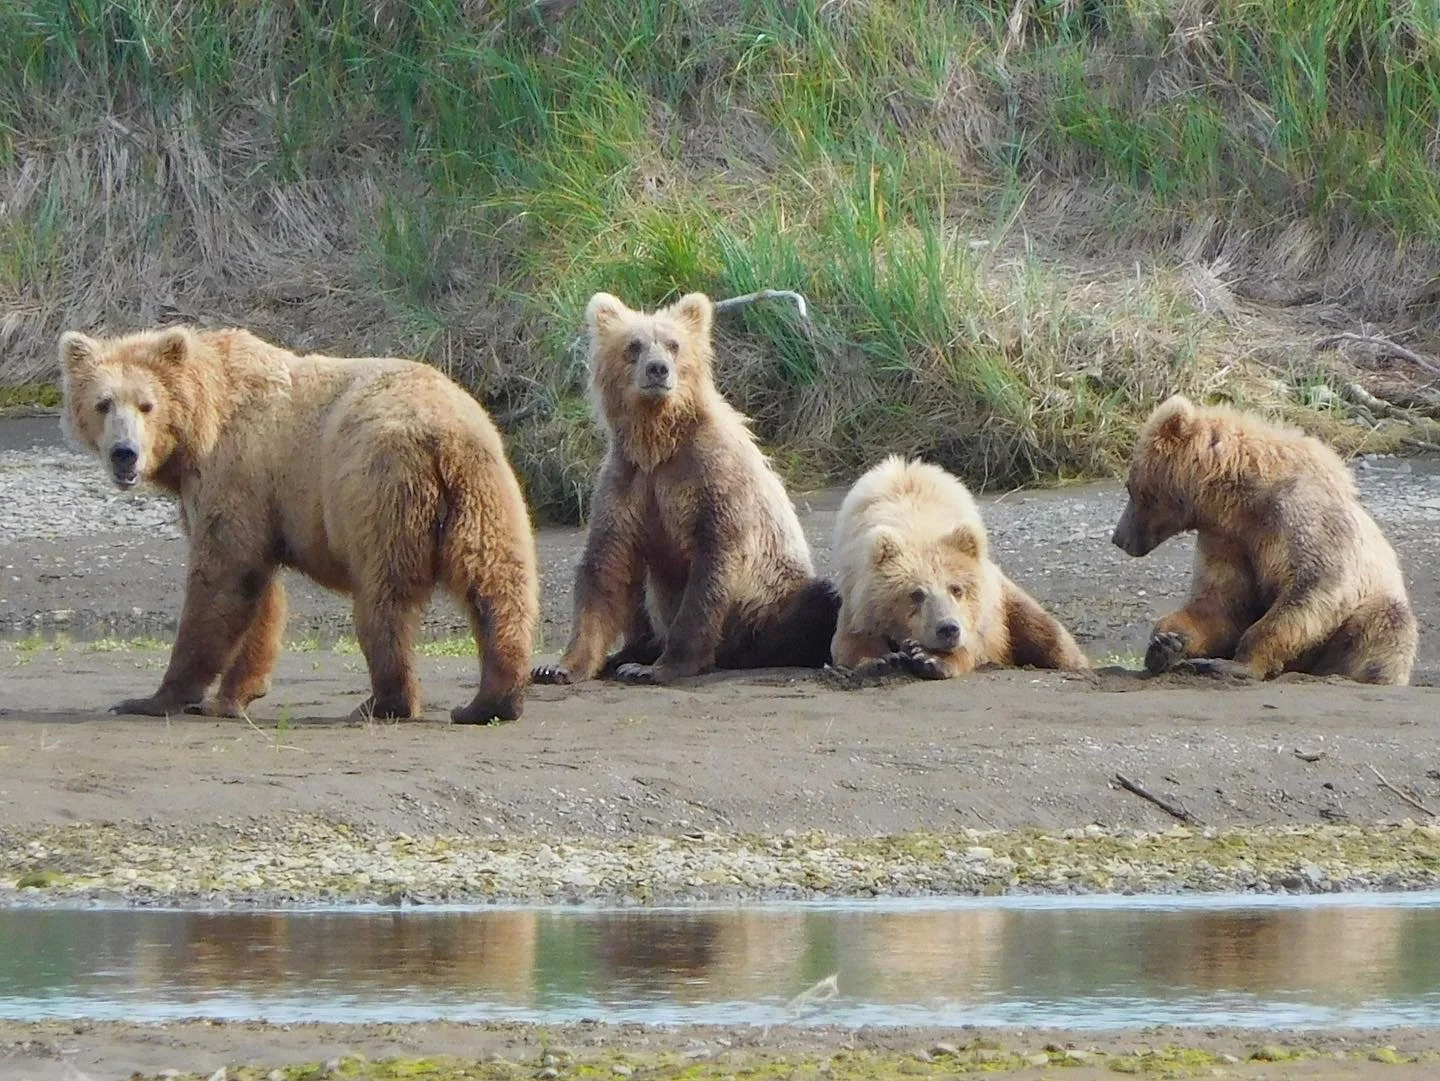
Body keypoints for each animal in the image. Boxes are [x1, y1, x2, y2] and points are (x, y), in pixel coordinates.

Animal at [59, 325, 540, 723]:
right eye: (103, 403)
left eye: (147, 404)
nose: (124, 453)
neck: (203, 424)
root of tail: (443, 436)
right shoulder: (260, 500)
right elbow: (259, 591)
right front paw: (236, 693)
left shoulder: (237, 472)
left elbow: (222, 577)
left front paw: (153, 698)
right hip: (486, 491)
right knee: (497, 586)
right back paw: (491, 701)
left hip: (378, 488)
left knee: (385, 599)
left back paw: (386, 702)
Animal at [531, 291, 839, 686]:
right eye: (634, 345)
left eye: (673, 344)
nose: (658, 369)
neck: (659, 443)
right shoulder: (628, 481)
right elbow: (606, 564)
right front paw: (558, 666)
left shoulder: (712, 475)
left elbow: (711, 566)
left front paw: (662, 667)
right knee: (640, 591)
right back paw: (630, 653)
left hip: (769, 606)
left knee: (819, 603)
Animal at [830, 455, 1091, 679]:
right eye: (916, 594)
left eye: (956, 588)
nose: (948, 629)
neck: (916, 521)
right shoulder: (855, 594)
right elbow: (850, 641)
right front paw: (879, 660)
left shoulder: (981, 615)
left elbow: (972, 642)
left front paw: (931, 660)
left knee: (1045, 632)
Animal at [1111, 394, 1418, 685]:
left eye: (1130, 487)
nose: (1118, 538)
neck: (1240, 501)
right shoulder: (1227, 539)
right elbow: (1221, 601)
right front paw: (1166, 643)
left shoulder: (1301, 517)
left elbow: (1313, 588)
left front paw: (1236, 665)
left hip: (1371, 615)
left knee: (1386, 624)